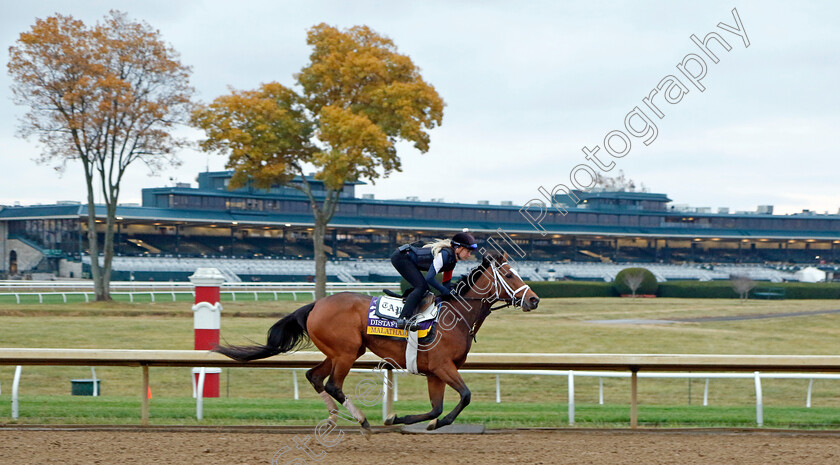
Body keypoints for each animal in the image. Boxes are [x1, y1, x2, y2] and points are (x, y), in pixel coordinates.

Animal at [213, 252, 540, 434]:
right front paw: (417, 422)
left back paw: (333, 419)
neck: (457, 315)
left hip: (342, 351)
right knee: (333, 384)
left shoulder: (434, 372)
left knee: (314, 376)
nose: (534, 300)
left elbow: (435, 408)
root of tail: (317, 304)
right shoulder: (443, 366)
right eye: (509, 274)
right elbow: (466, 396)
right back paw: (361, 420)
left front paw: (402, 418)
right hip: (346, 352)